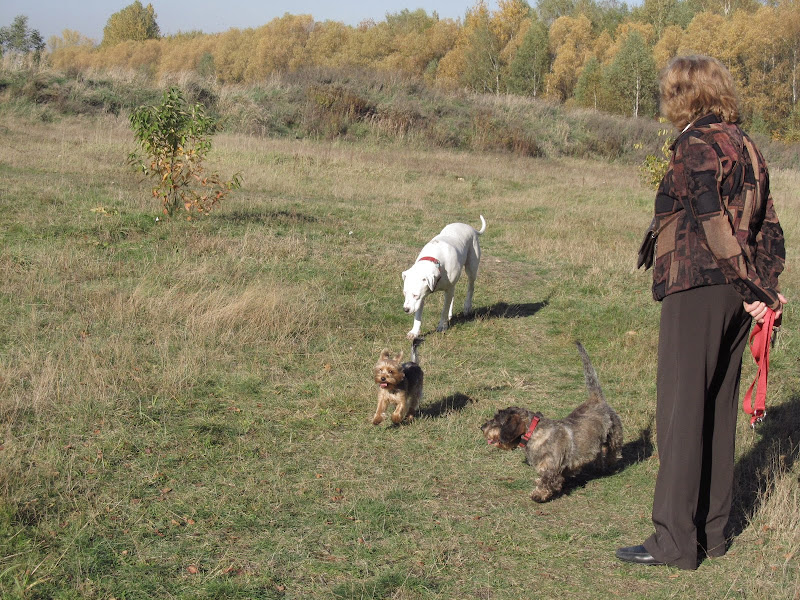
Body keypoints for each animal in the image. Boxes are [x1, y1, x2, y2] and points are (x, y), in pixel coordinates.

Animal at [480, 341, 623, 502]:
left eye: (497, 420)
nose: (482, 427)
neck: (534, 433)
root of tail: (596, 399)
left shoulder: (550, 467)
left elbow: (546, 481)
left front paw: (538, 494)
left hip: (615, 435)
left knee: (613, 450)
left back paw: (610, 464)